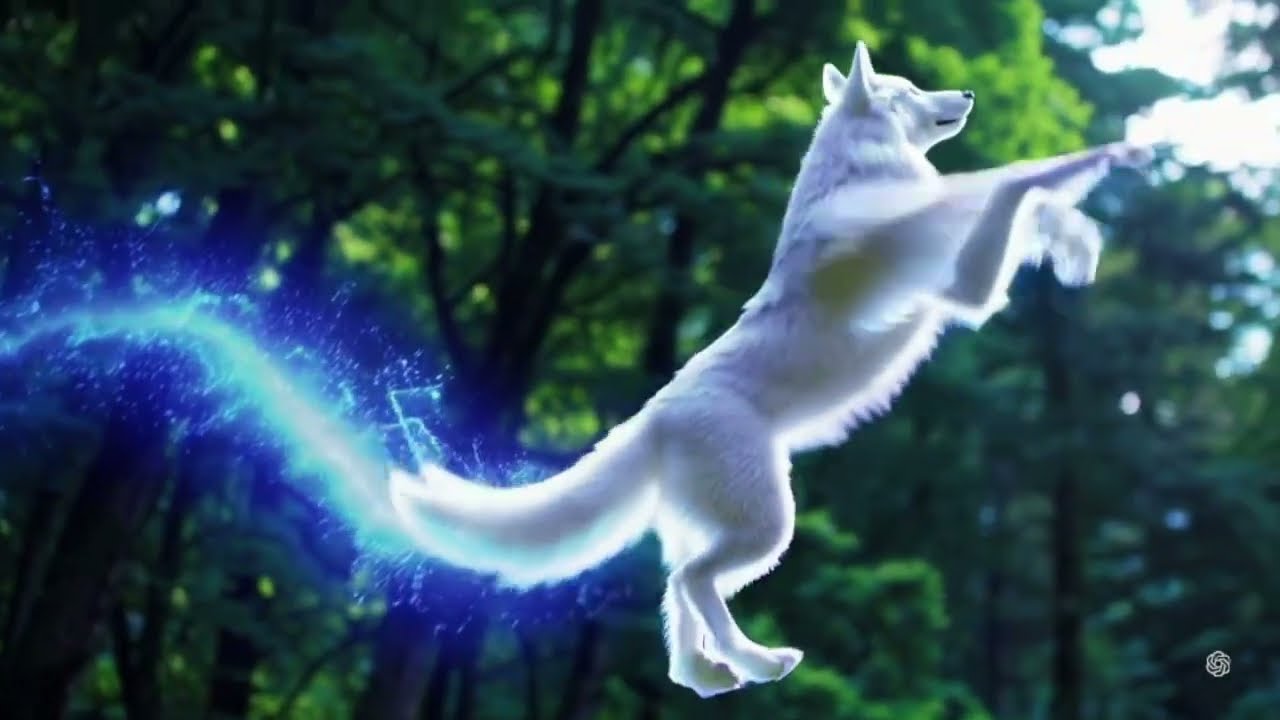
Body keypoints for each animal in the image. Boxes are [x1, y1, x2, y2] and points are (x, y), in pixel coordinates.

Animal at [389, 42, 1150, 698]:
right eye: (908, 90)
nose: (964, 94)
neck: (860, 168)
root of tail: (654, 415)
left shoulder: (971, 281)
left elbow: (1029, 205)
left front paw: (1078, 243)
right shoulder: (967, 288)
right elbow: (1021, 179)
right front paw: (1111, 155)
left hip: (732, 527)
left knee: (677, 595)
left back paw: (711, 674)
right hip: (767, 528)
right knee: (693, 582)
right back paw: (758, 661)